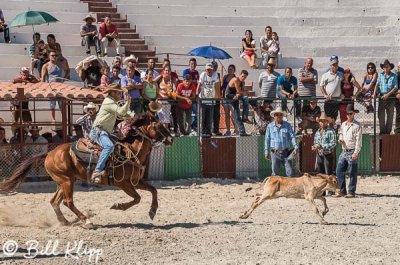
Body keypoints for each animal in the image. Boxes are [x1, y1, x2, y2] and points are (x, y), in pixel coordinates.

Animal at [0, 111, 173, 227]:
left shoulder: (136, 181)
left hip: (64, 181)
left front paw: (152, 211)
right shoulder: (123, 183)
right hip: (66, 181)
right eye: (158, 124)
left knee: (55, 201)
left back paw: (65, 221)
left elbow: (153, 190)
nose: (171, 138)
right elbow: (137, 198)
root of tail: (49, 153)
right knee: (68, 202)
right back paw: (86, 220)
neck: (130, 150)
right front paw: (118, 206)